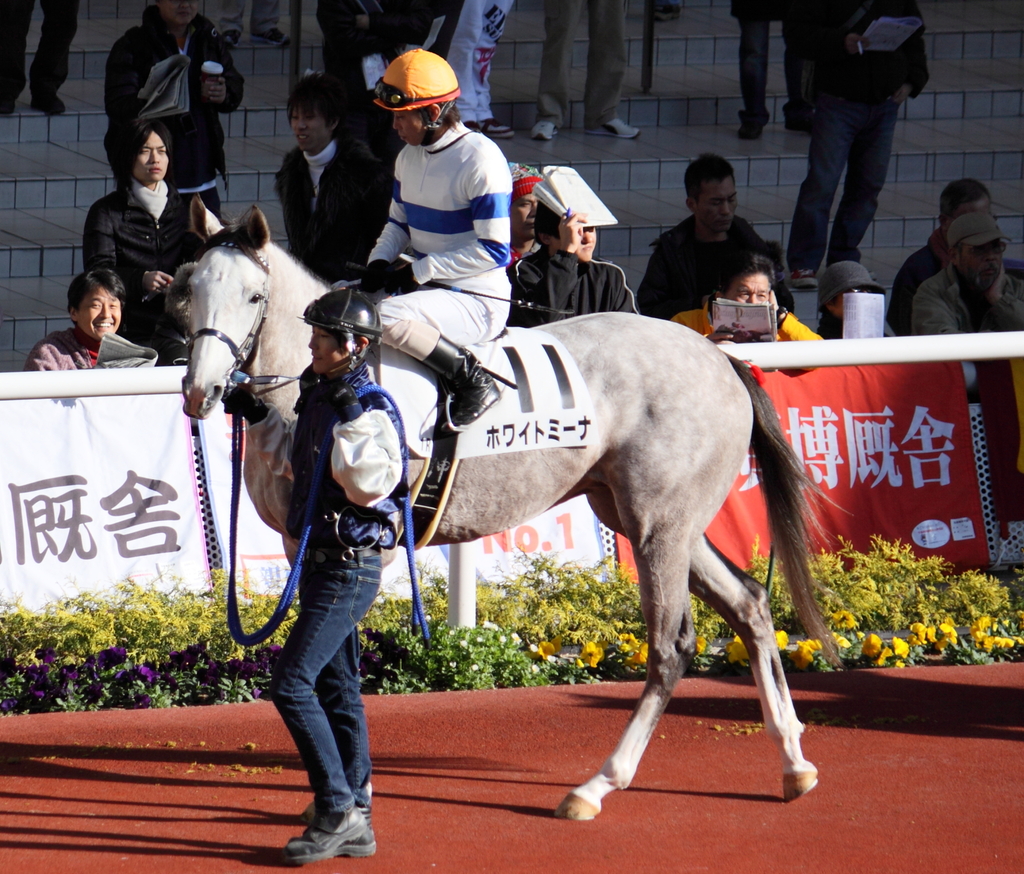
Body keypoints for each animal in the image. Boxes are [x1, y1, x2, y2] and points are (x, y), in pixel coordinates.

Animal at [176, 203, 831, 822]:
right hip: (656, 518)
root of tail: (721, 360)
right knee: (749, 601)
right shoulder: (305, 542)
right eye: (189, 290)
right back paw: (793, 760)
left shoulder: (369, 543)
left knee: (671, 647)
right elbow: (330, 659)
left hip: (658, 526)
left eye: (253, 296)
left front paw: (351, 790)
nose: (200, 392)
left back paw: (597, 785)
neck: (316, 390)